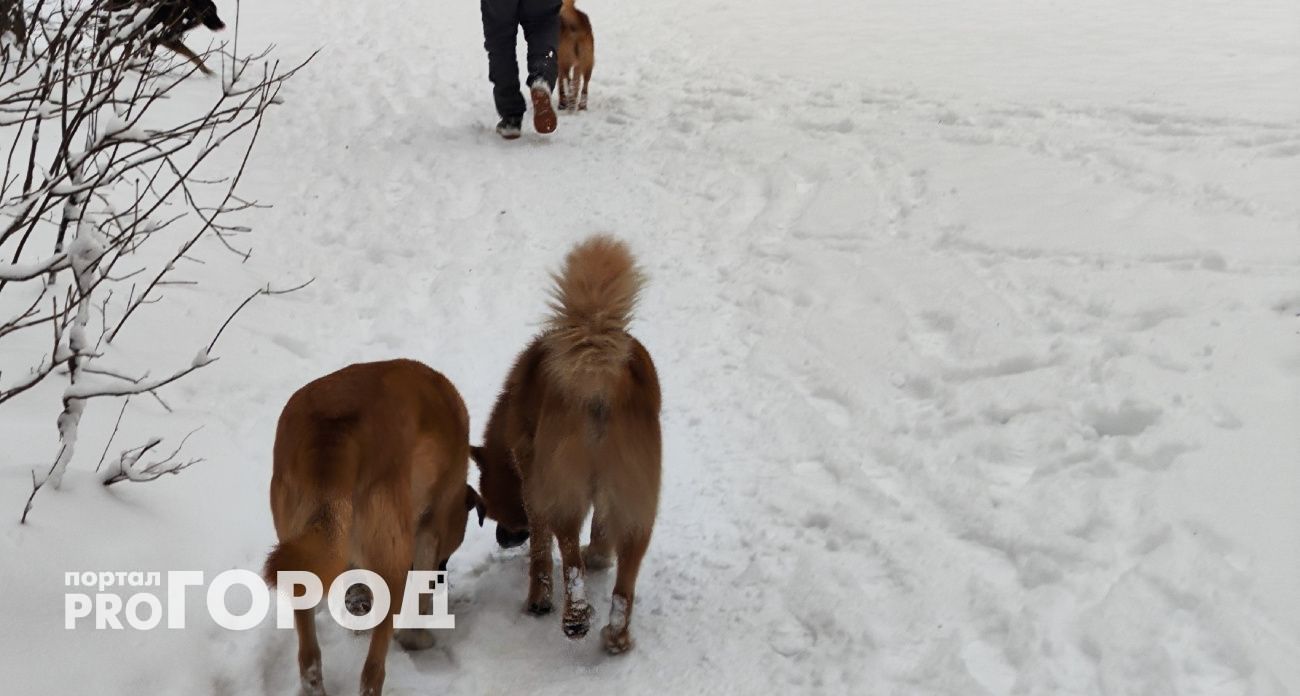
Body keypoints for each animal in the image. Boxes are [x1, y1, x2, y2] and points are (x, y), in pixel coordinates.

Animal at [262, 359, 483, 696]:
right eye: (446, 556)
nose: (442, 576)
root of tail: (333, 432)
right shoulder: (429, 532)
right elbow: (420, 598)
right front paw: (416, 635)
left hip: (301, 556)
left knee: (309, 658)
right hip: (392, 560)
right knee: (372, 671)